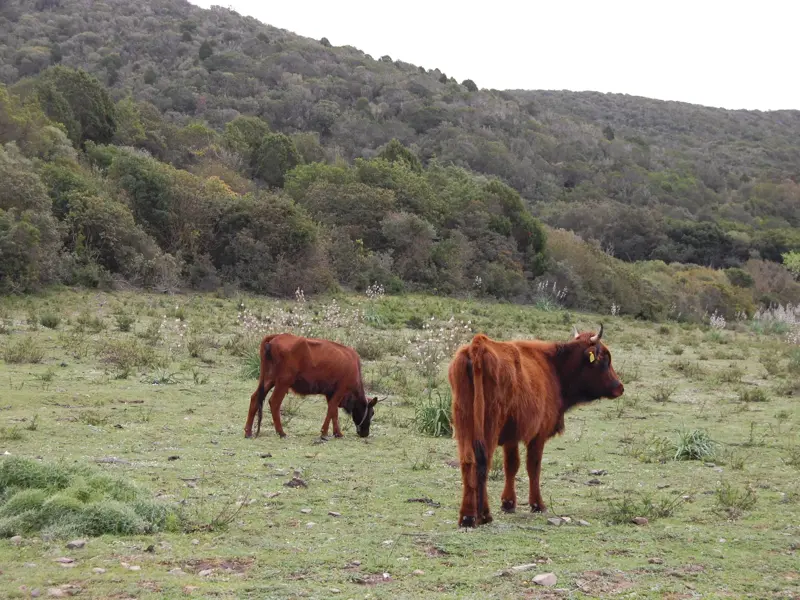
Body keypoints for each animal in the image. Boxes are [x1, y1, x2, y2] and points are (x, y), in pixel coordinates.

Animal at [243, 333, 379, 440]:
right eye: (372, 413)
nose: (365, 433)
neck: (353, 365)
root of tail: (276, 336)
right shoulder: (341, 390)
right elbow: (332, 410)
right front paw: (324, 433)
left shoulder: (331, 393)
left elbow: (334, 412)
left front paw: (337, 433)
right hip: (283, 383)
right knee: (275, 402)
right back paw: (281, 432)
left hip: (269, 380)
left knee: (255, 398)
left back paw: (248, 432)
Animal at [448, 324, 624, 527]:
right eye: (605, 358)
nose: (619, 387)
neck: (553, 366)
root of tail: (478, 346)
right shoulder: (537, 435)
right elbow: (534, 467)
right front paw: (537, 504)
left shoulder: (512, 437)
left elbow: (511, 465)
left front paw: (508, 503)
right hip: (488, 427)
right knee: (482, 463)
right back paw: (483, 515)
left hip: (464, 425)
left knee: (468, 462)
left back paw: (467, 516)